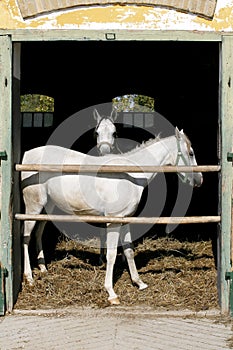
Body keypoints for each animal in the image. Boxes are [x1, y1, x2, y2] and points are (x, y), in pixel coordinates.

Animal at [21, 127, 202, 304]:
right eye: (191, 153)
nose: (200, 179)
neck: (131, 174)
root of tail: (27, 155)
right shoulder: (113, 222)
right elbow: (112, 254)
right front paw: (111, 293)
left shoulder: (124, 219)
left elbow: (129, 251)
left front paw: (139, 283)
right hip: (33, 208)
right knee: (26, 238)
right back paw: (29, 278)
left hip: (47, 208)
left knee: (38, 234)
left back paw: (43, 269)